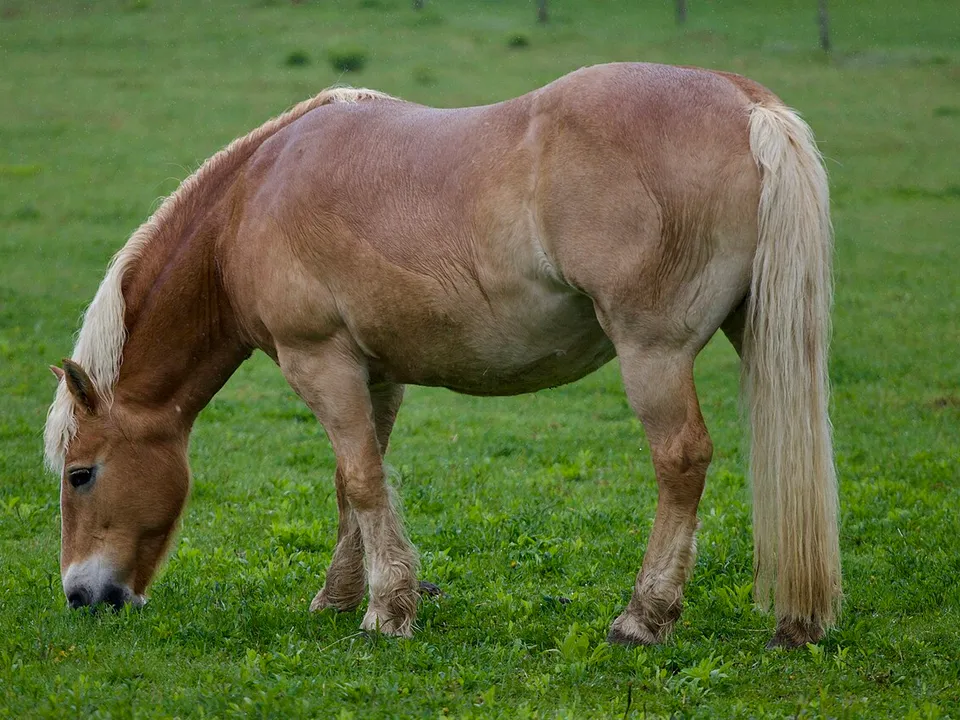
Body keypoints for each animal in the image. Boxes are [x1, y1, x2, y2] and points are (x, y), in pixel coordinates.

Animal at [44, 62, 841, 648]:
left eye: (82, 474)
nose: (81, 595)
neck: (252, 199)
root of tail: (745, 102)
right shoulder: (374, 375)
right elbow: (353, 485)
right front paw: (341, 597)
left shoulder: (320, 362)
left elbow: (362, 481)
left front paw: (387, 612)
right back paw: (796, 620)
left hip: (653, 354)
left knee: (680, 461)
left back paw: (643, 618)